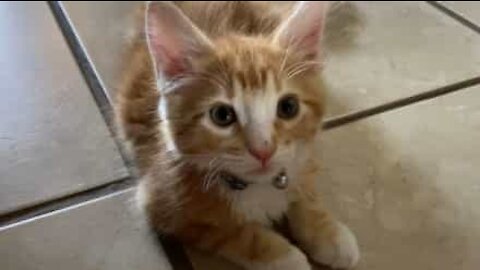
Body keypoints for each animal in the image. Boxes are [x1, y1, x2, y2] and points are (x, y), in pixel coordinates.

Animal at [116, 2, 360, 270]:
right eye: (222, 115)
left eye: (288, 107)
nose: (264, 150)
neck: (258, 184)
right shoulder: (164, 205)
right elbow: (237, 234)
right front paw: (286, 257)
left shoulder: (302, 155)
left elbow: (305, 189)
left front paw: (327, 231)